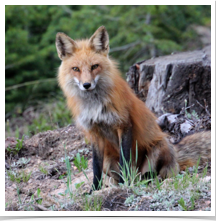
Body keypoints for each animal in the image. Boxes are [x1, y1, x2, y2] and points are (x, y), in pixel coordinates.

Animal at [55, 25, 211, 191]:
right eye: (76, 69)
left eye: (94, 66)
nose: (86, 85)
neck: (95, 105)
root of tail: (175, 151)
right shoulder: (94, 132)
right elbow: (96, 168)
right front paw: (94, 190)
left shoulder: (124, 124)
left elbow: (125, 159)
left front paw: (124, 184)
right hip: (108, 160)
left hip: (159, 147)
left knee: (155, 174)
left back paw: (143, 179)